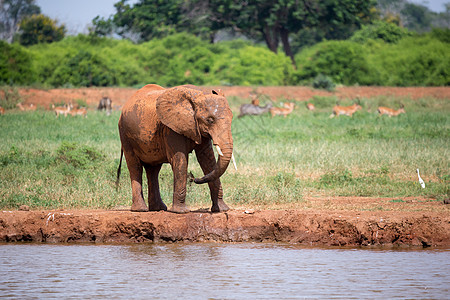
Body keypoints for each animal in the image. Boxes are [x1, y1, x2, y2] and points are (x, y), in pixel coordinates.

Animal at [116, 84, 236, 213]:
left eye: (232, 118)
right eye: (210, 120)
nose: (194, 179)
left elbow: (208, 160)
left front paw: (221, 210)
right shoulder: (171, 128)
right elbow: (180, 160)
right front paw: (181, 211)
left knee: (153, 170)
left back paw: (158, 208)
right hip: (125, 135)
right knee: (135, 166)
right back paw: (140, 209)